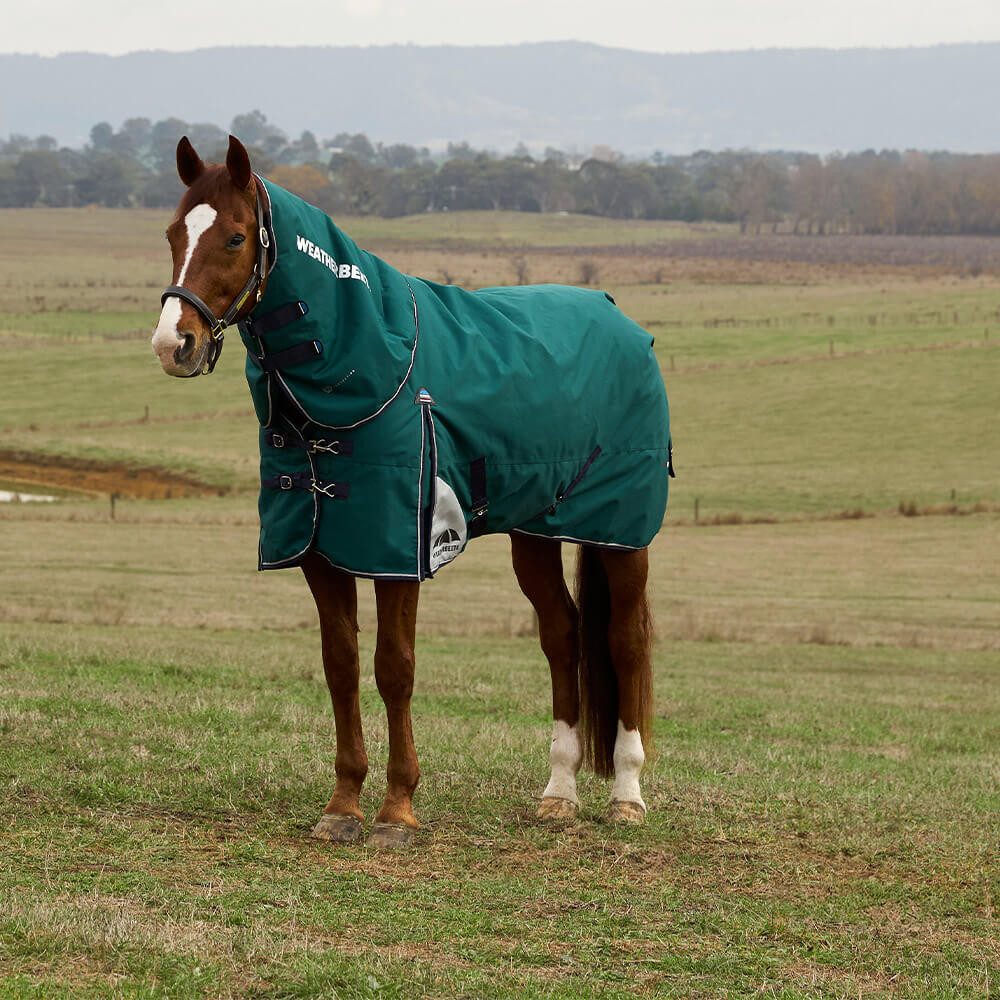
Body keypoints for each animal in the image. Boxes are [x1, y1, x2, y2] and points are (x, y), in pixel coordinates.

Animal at [151, 135, 672, 849]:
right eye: (174, 233)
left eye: (233, 237)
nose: (173, 343)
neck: (369, 359)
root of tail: (619, 319)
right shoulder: (322, 550)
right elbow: (341, 665)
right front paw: (343, 805)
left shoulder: (397, 551)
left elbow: (393, 668)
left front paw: (397, 810)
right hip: (536, 533)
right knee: (563, 636)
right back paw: (559, 792)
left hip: (621, 536)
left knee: (625, 642)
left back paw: (627, 795)